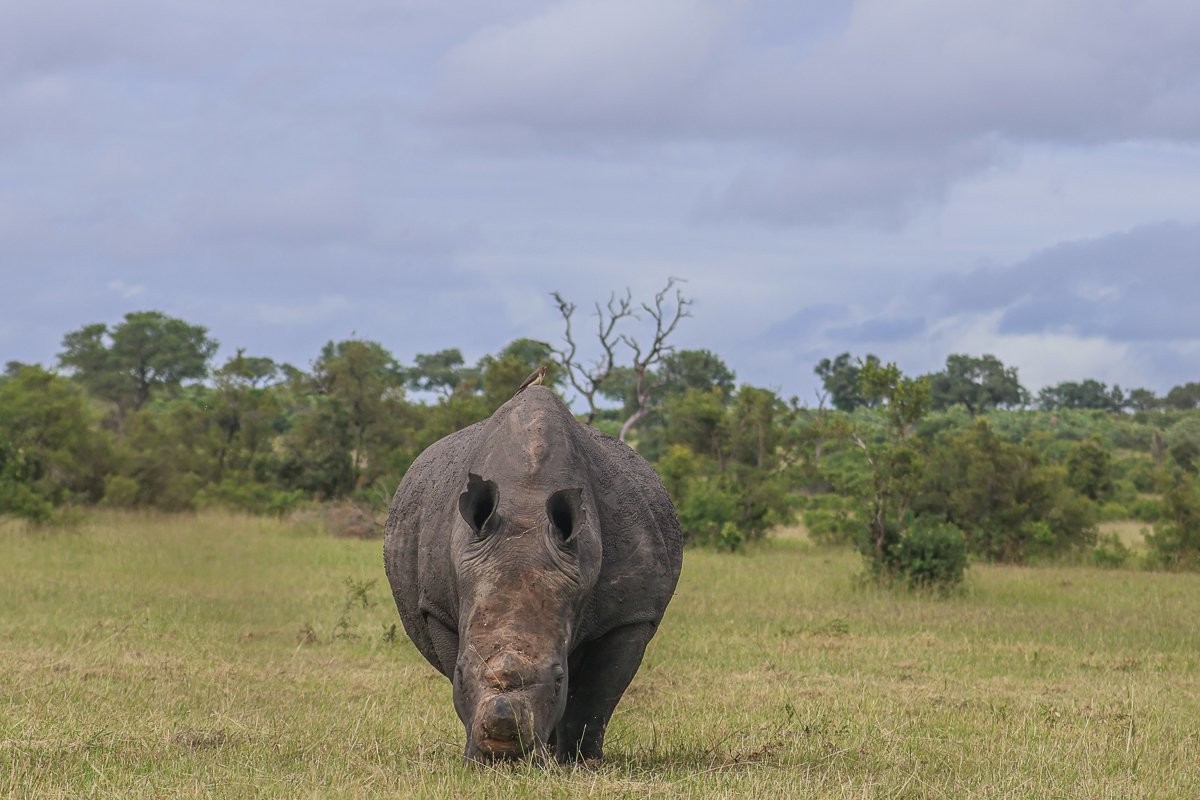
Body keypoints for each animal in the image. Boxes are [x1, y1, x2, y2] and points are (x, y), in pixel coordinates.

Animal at [384, 386, 683, 764]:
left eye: (558, 678)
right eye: (462, 672)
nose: (504, 750)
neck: (527, 499)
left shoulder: (630, 614)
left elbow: (599, 693)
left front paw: (583, 763)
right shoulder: (436, 607)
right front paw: (473, 759)